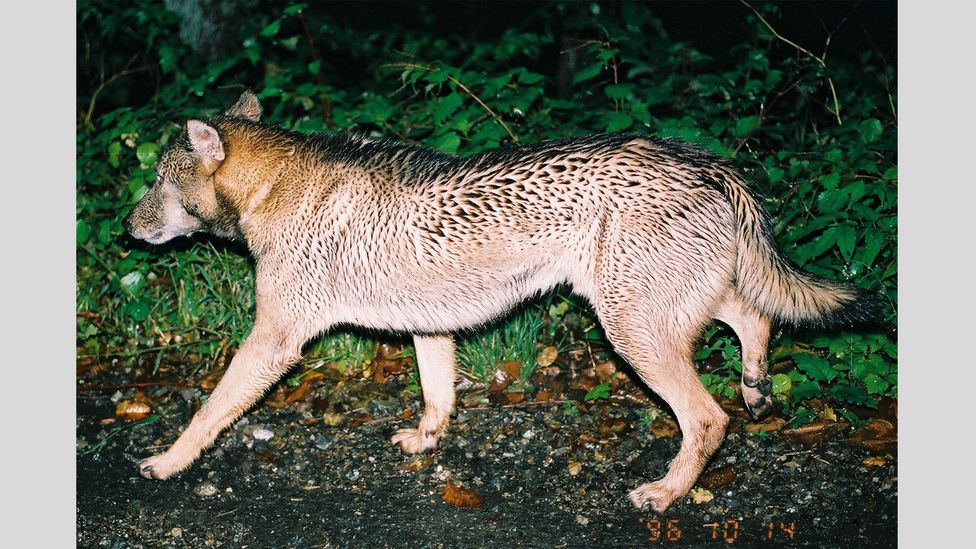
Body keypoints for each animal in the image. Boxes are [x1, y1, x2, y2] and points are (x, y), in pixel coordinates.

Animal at [122, 90, 876, 510]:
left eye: (156, 178)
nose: (126, 228)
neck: (271, 189)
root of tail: (705, 162)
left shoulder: (275, 340)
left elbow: (209, 411)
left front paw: (168, 461)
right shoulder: (428, 327)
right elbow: (437, 397)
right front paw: (426, 439)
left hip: (632, 330)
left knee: (708, 419)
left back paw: (667, 491)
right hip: (661, 308)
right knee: (756, 316)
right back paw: (756, 388)